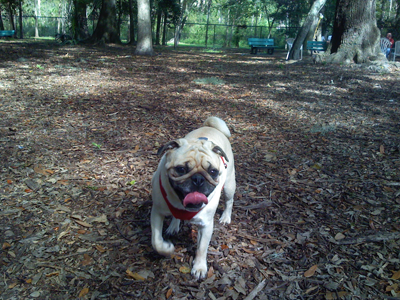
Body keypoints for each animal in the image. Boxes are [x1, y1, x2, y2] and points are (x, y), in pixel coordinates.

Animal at [152, 116, 236, 278]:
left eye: (213, 171)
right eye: (181, 169)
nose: (198, 179)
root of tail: (212, 127)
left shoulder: (206, 225)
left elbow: (202, 248)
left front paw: (199, 267)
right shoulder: (157, 212)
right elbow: (156, 241)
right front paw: (167, 248)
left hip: (229, 185)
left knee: (229, 201)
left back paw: (226, 217)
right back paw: (173, 226)